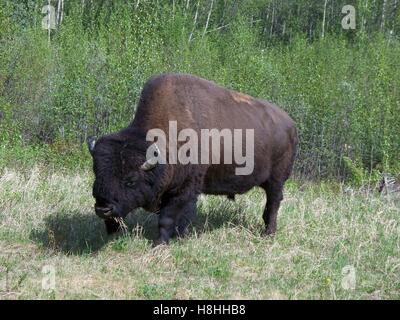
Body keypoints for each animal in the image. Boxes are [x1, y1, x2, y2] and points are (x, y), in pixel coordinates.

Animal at [89, 73, 298, 245]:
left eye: (131, 180)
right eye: (96, 174)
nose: (103, 209)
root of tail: (290, 124)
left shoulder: (184, 190)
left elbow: (167, 219)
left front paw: (161, 243)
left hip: (276, 180)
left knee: (273, 203)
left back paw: (268, 233)